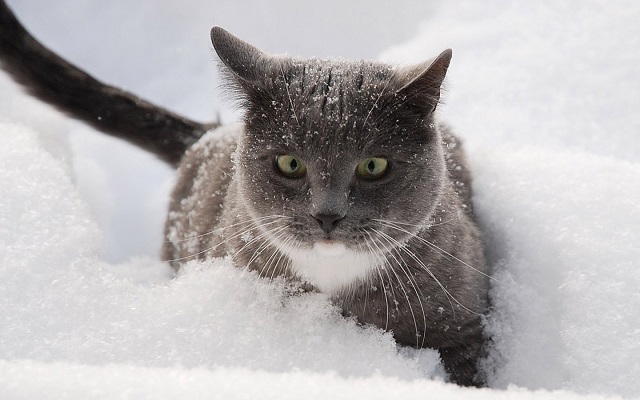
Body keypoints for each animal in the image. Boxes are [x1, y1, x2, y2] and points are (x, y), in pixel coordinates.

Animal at [0, 0, 490, 388]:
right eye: (290, 163)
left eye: (374, 166)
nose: (327, 215)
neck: (333, 275)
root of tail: (211, 134)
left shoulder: (462, 315)